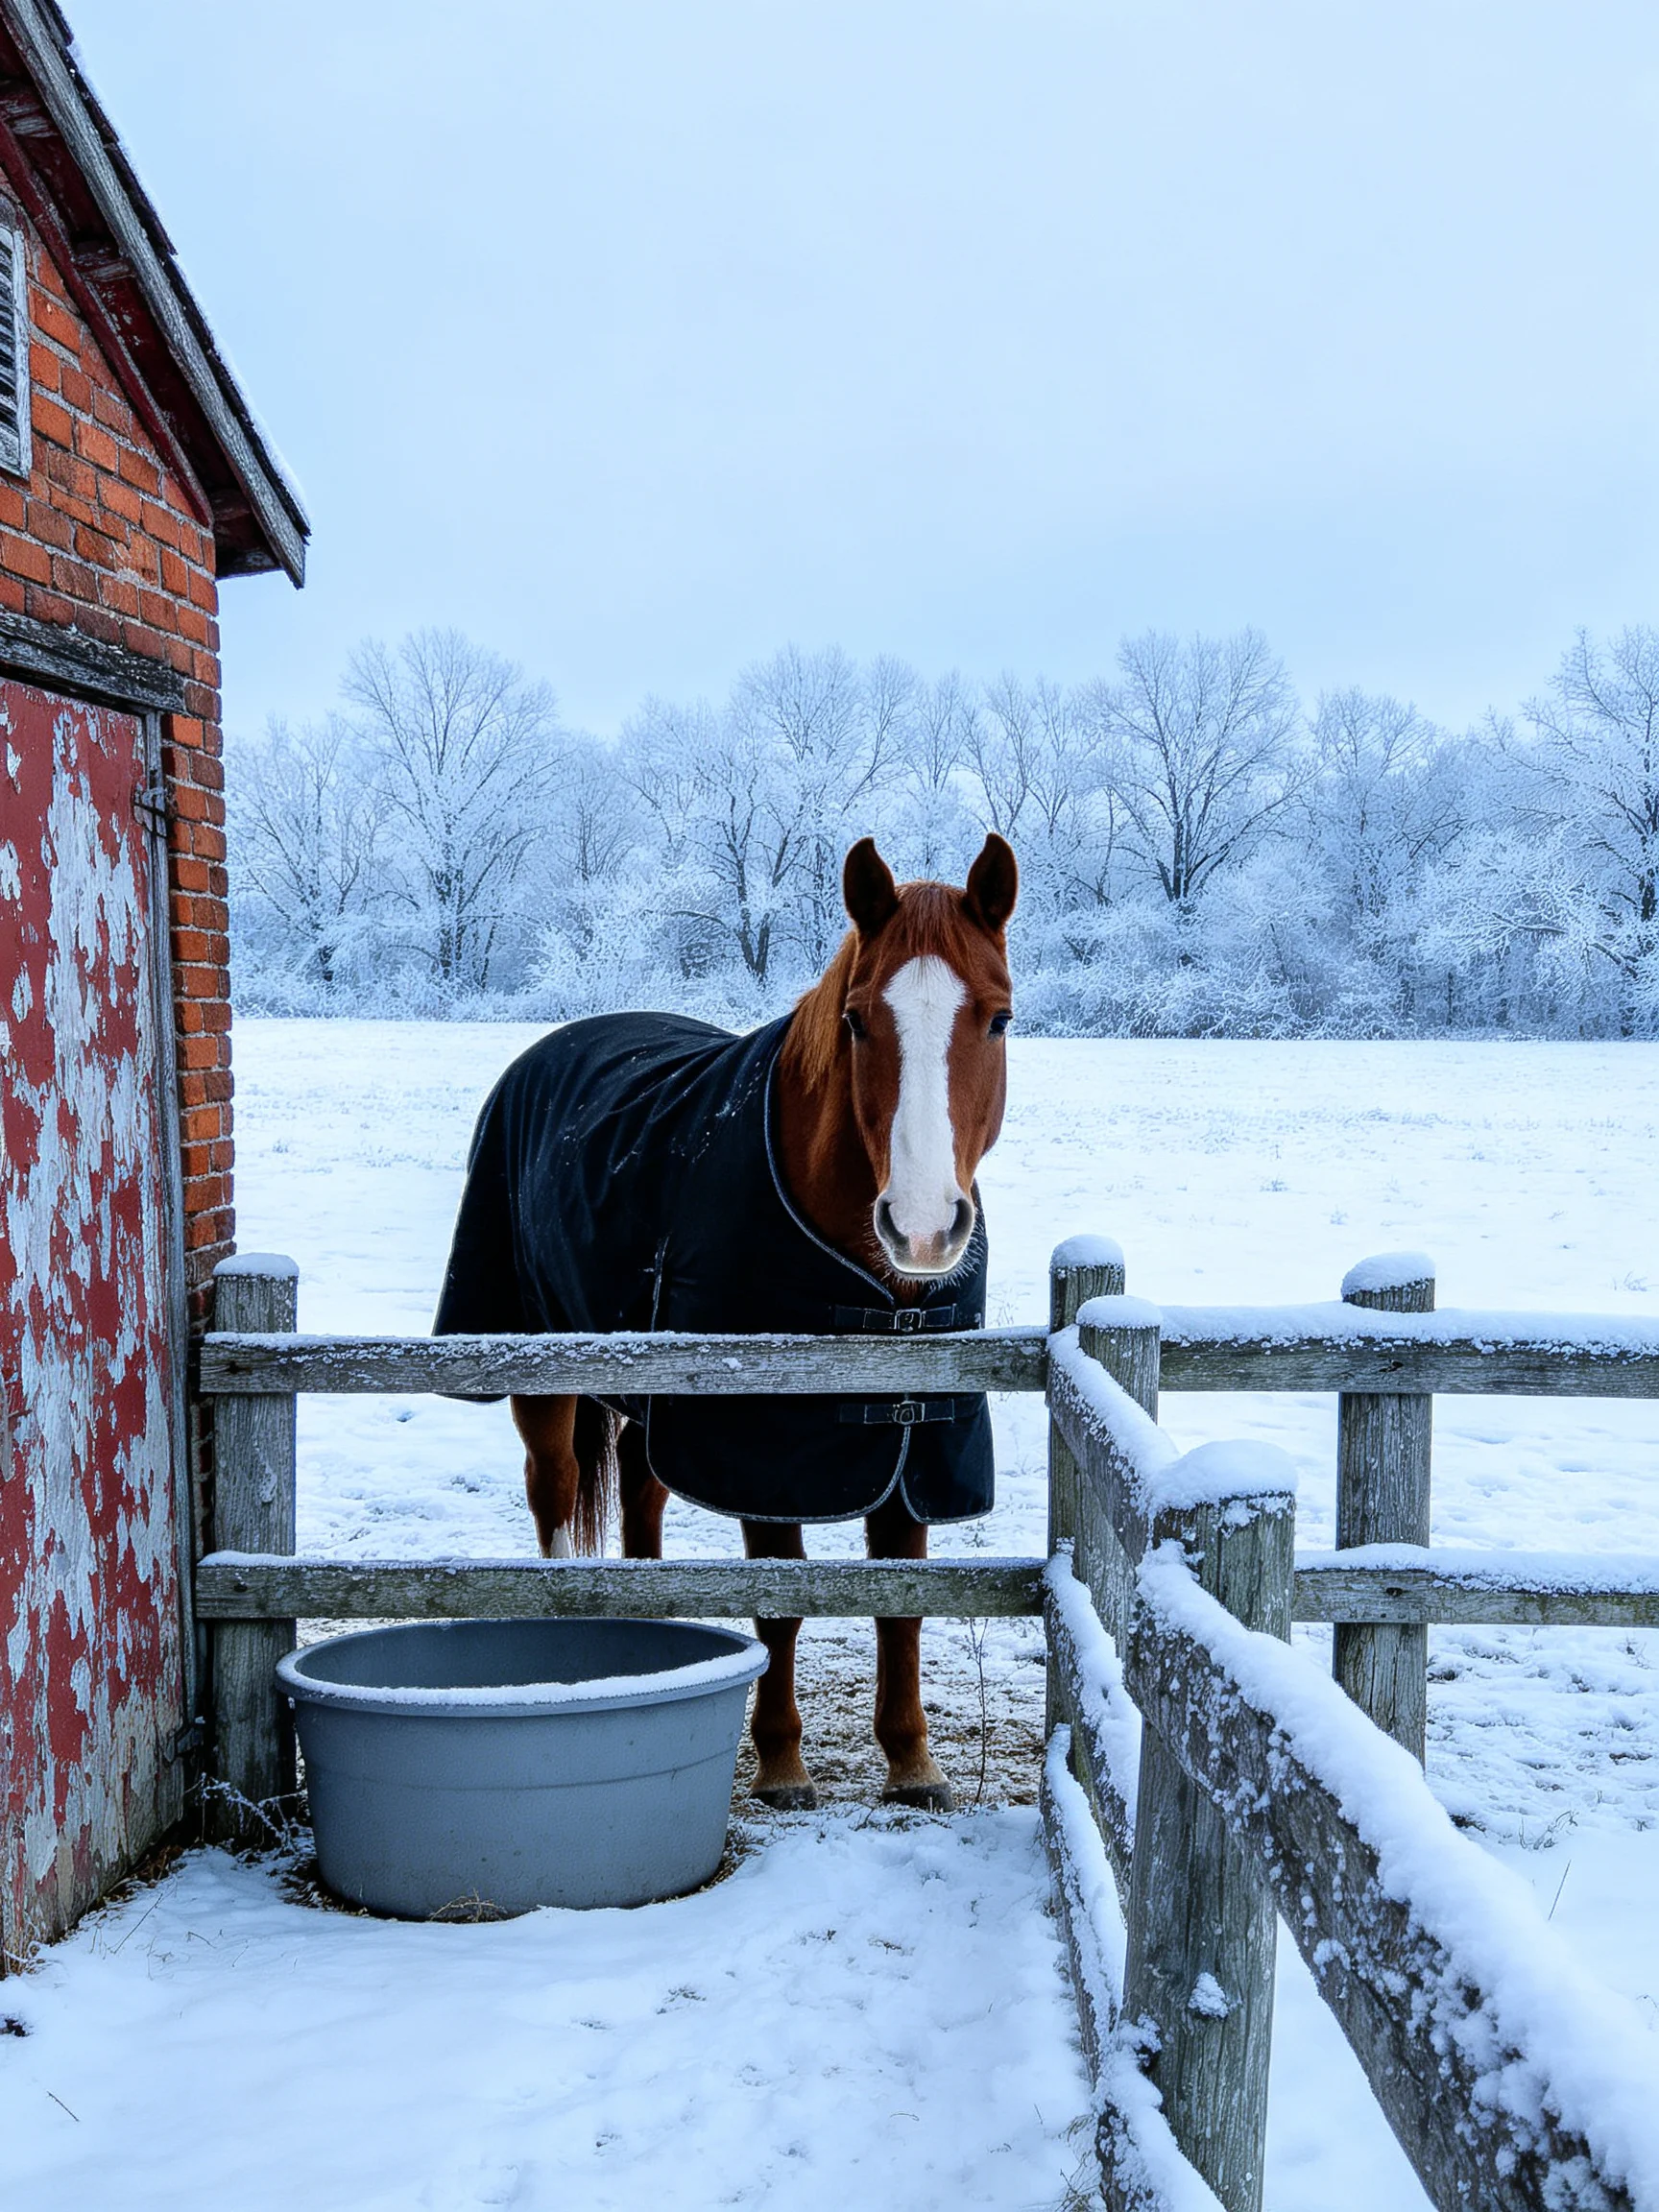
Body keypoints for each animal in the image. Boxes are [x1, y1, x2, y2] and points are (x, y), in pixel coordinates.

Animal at [433, 832, 1017, 1811]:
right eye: (857, 1021)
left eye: (1000, 1019)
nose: (923, 1228)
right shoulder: (762, 1453)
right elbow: (779, 1602)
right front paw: (781, 1764)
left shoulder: (913, 1444)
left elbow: (901, 1601)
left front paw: (911, 1762)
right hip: (543, 1373)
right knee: (555, 1494)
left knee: (641, 1493)